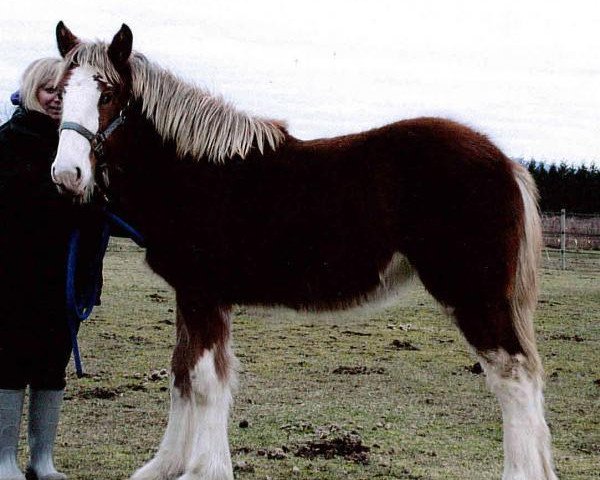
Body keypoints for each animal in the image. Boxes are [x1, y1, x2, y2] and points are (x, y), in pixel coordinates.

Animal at [51, 21, 556, 480]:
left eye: (109, 95)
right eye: (57, 94)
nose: (66, 174)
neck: (192, 172)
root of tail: (507, 163)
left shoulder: (203, 295)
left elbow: (206, 381)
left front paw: (202, 470)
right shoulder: (190, 295)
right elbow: (181, 373)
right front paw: (165, 466)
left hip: (475, 296)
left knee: (514, 379)